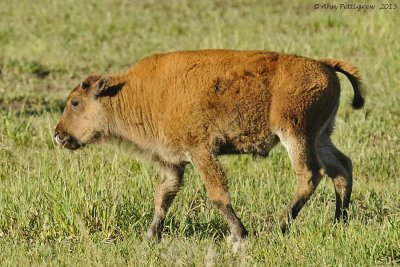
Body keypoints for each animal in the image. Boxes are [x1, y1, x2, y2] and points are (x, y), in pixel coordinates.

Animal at [54, 49, 364, 243]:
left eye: (75, 102)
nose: (58, 135)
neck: (134, 92)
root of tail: (324, 64)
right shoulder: (173, 162)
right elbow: (163, 195)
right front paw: (150, 237)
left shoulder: (201, 152)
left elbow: (217, 194)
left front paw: (240, 234)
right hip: (320, 137)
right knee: (341, 168)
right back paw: (339, 221)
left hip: (296, 135)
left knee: (310, 175)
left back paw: (281, 225)